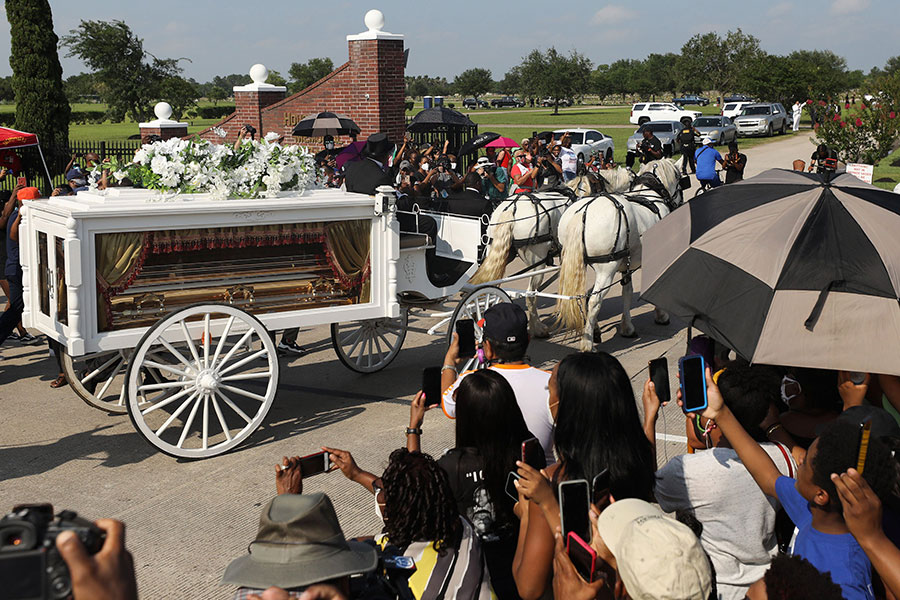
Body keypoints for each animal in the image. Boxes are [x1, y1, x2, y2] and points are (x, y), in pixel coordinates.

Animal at [556, 159, 684, 352]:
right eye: (679, 179)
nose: (680, 203)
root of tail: (582, 213)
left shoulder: (626, 264)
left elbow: (627, 292)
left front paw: (627, 327)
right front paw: (661, 315)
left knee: (584, 296)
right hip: (606, 269)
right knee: (594, 300)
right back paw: (587, 344)